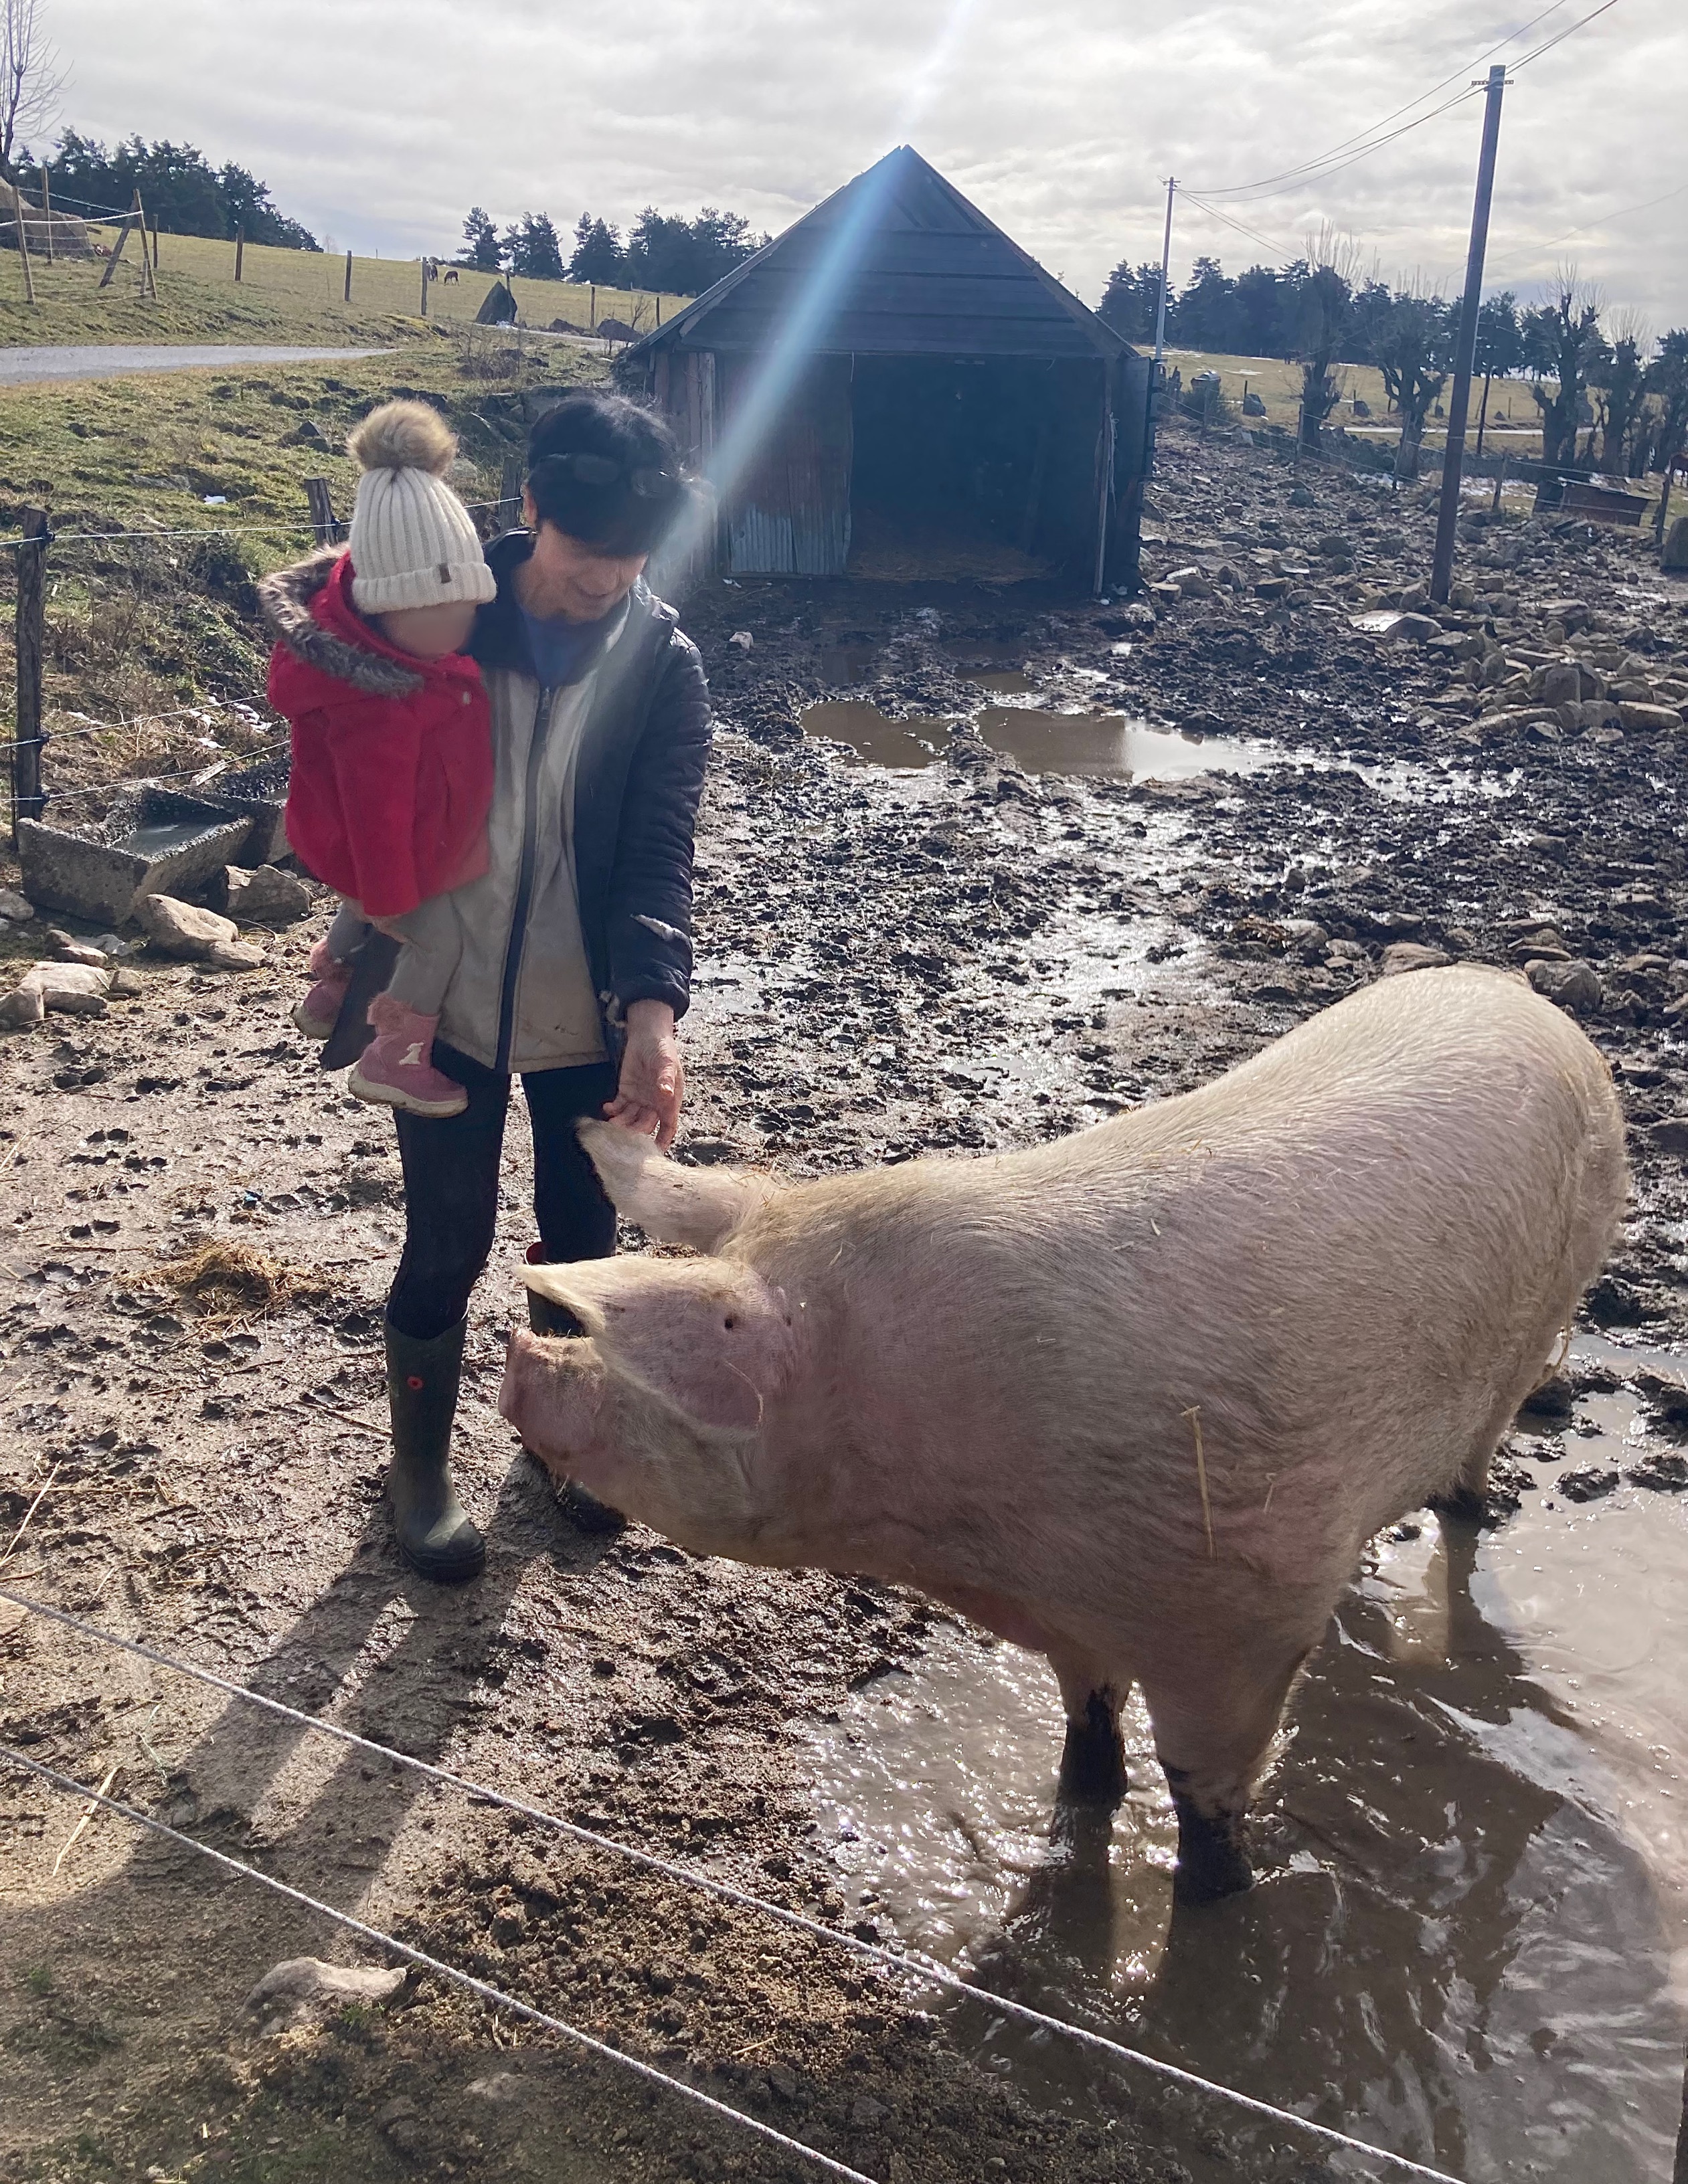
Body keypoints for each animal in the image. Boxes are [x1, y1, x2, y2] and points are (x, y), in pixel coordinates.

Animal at [499, 966, 1626, 1903]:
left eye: (668, 1364)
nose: (517, 1358)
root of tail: (1520, 993)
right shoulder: (1069, 1618)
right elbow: (1088, 1739)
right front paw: (1079, 1804)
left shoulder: (1242, 1615)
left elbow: (1203, 1793)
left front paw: (1216, 1902)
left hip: (1549, 1308)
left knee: (1475, 1469)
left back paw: (1468, 1510)